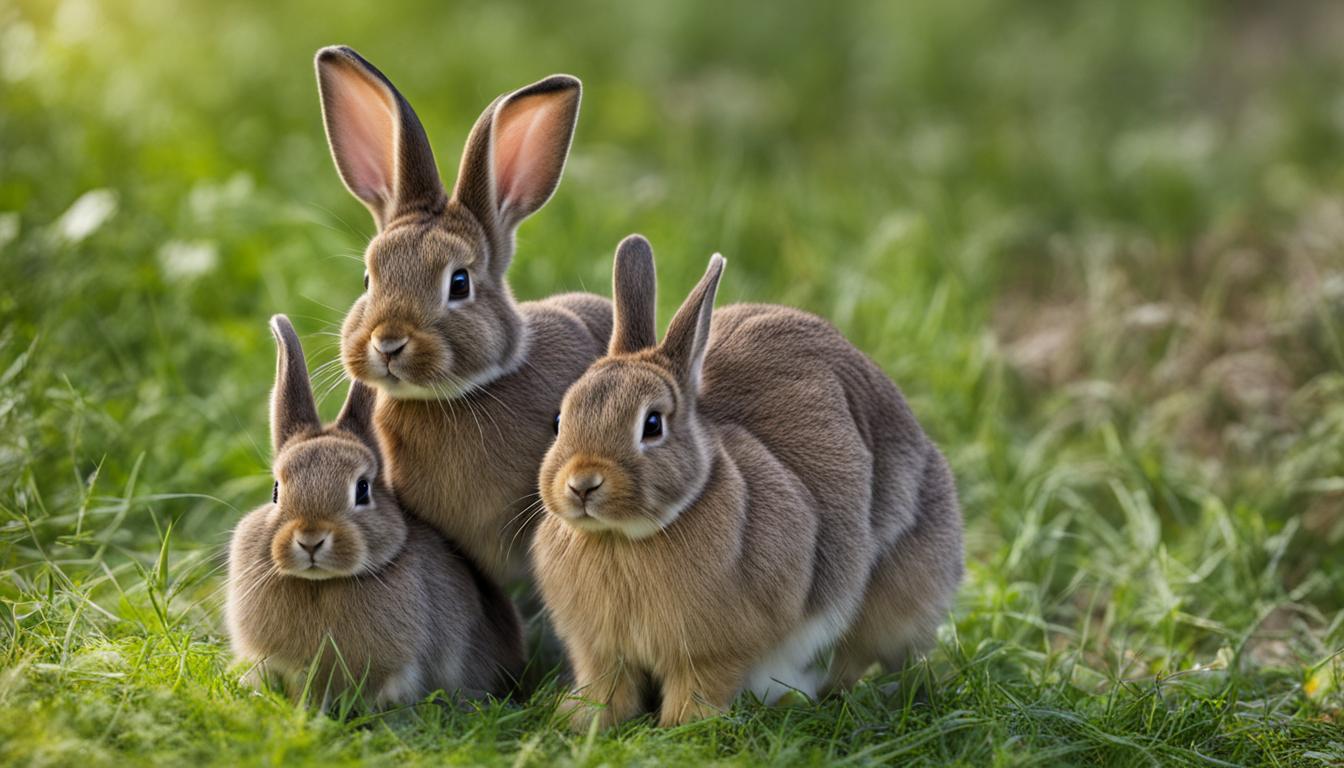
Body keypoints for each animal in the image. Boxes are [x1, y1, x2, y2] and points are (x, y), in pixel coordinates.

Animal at [532, 235, 964, 728]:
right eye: (560, 420)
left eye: (653, 424)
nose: (582, 484)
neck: (623, 538)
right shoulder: (601, 652)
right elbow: (607, 688)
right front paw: (583, 721)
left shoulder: (714, 652)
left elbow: (701, 687)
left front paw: (682, 727)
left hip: (891, 595)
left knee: (855, 656)